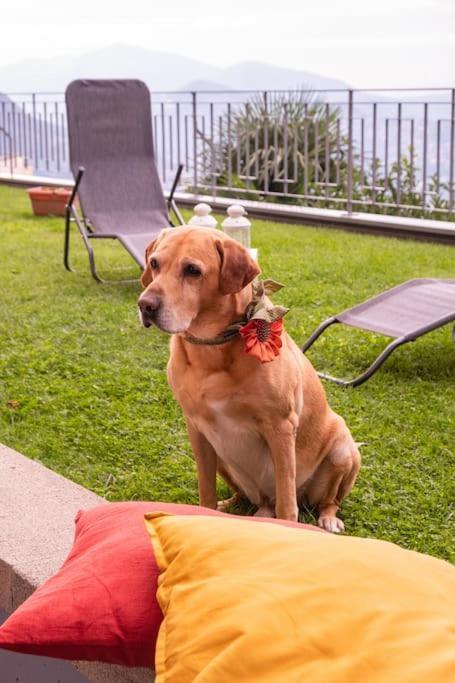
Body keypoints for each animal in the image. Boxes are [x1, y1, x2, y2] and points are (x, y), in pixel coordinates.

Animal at [139, 227, 360, 532]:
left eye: (192, 270)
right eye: (155, 264)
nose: (145, 306)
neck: (211, 352)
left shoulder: (281, 427)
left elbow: (288, 505)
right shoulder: (195, 427)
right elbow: (206, 492)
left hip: (343, 450)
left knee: (324, 501)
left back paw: (328, 519)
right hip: (221, 457)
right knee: (249, 498)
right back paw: (231, 506)